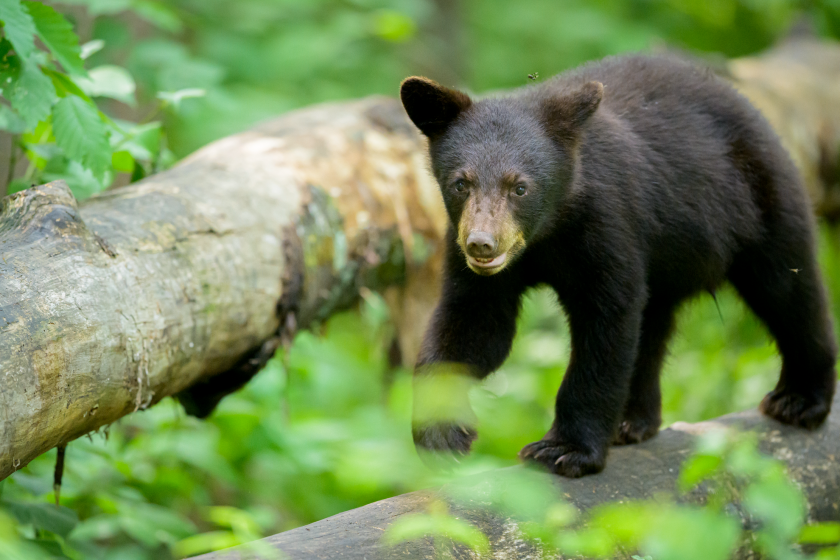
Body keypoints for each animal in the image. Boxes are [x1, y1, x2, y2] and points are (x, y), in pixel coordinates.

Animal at [400, 54, 838, 478]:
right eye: (461, 183)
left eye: (520, 186)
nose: (482, 244)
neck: (547, 233)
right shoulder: (477, 264)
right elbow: (475, 326)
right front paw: (442, 433)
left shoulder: (607, 226)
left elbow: (606, 327)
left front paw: (565, 449)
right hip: (667, 260)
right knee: (652, 326)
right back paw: (633, 421)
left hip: (763, 203)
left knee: (789, 291)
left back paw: (800, 399)